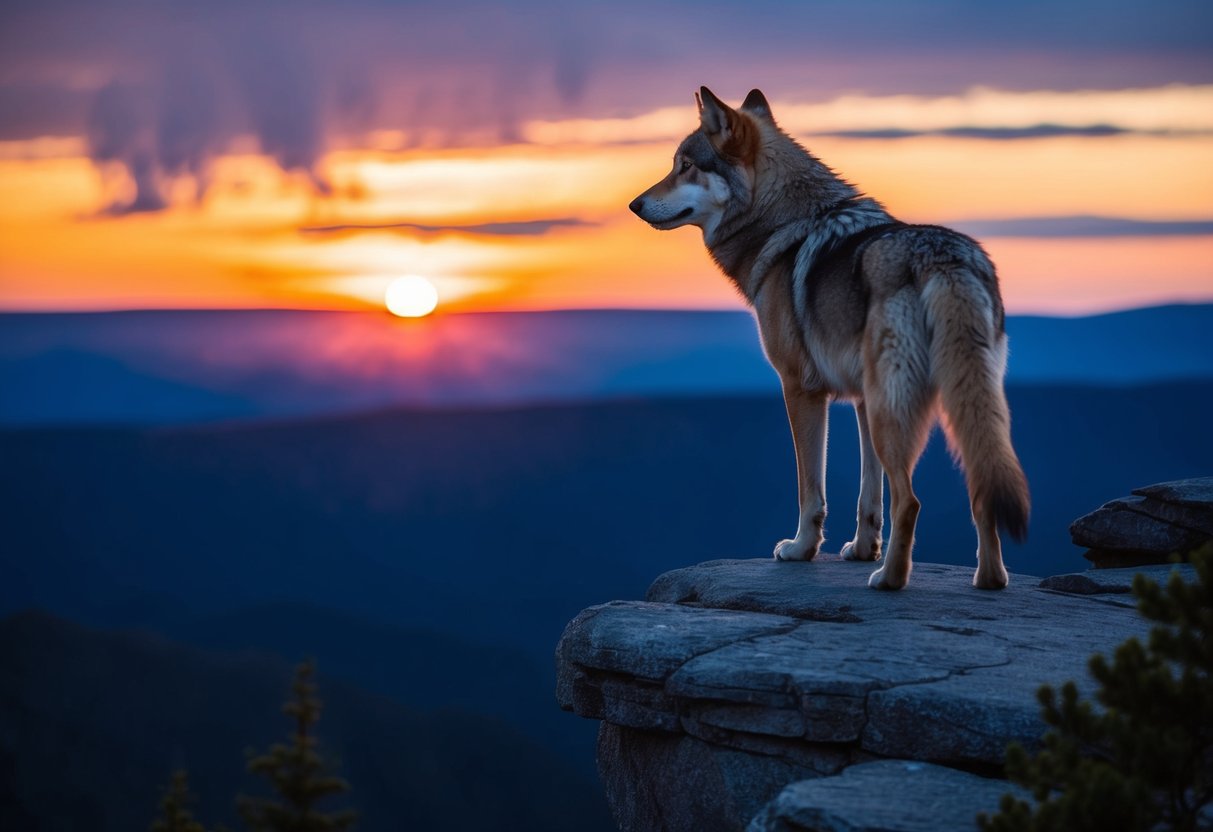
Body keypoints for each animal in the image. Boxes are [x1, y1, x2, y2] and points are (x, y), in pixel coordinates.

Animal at [629, 87, 1029, 590]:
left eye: (685, 165)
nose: (634, 205)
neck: (779, 223)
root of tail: (944, 259)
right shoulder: (860, 399)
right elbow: (868, 496)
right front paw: (861, 549)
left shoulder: (800, 388)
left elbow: (810, 488)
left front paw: (801, 549)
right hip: (957, 405)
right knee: (981, 491)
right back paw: (989, 579)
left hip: (894, 412)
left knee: (911, 500)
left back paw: (889, 579)